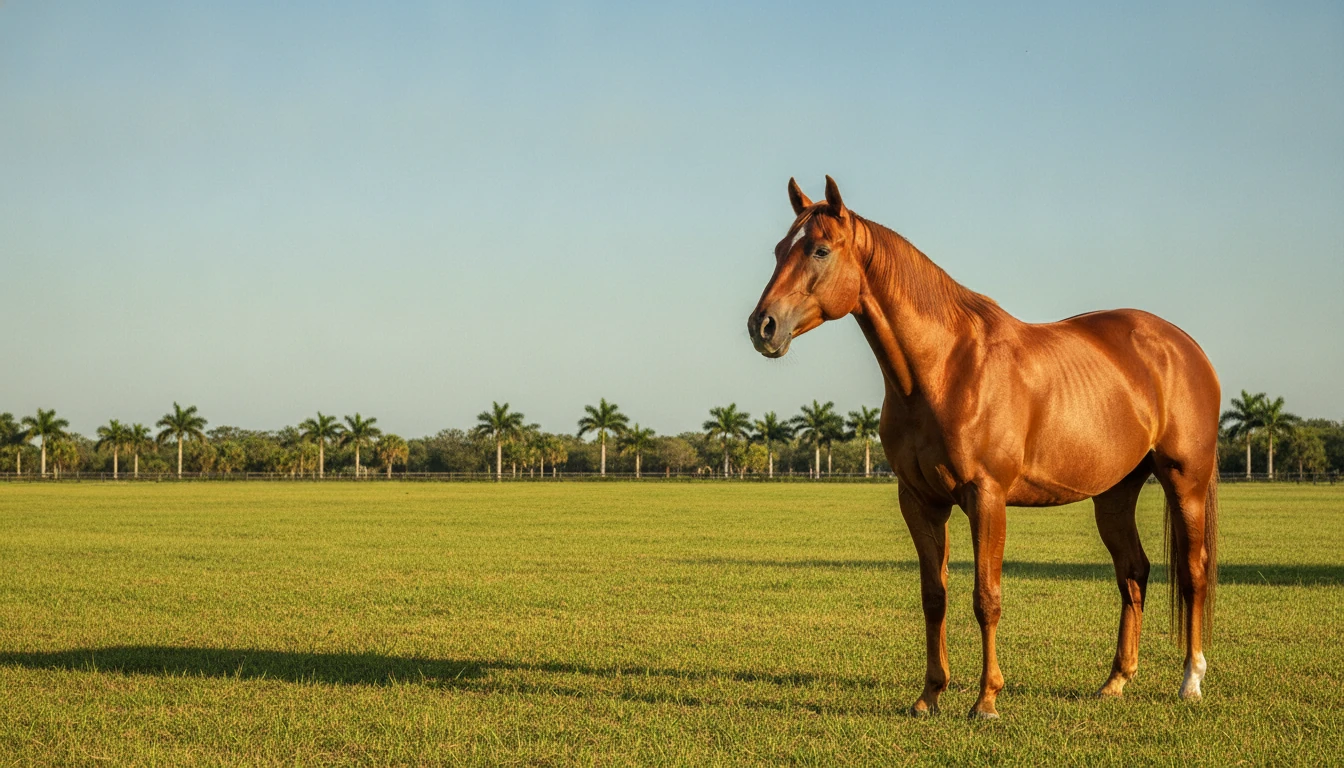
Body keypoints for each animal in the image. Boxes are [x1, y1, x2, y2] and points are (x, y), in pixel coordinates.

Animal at [747, 177, 1220, 719]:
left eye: (820, 250)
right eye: (779, 249)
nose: (762, 326)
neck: (947, 367)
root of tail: (1184, 346)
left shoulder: (987, 497)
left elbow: (985, 597)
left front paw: (986, 699)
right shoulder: (920, 502)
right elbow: (935, 596)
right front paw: (929, 695)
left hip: (1185, 482)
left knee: (1193, 573)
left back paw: (1191, 681)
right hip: (1115, 494)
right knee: (1133, 572)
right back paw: (1115, 681)